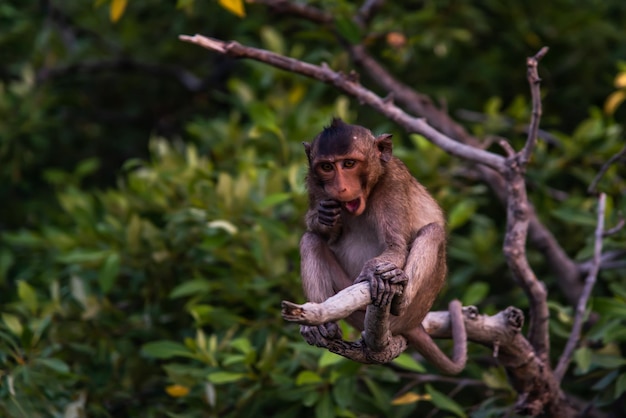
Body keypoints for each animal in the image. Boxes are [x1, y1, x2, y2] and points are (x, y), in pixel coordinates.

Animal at [300, 118, 466, 376]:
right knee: (310, 241)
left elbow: (395, 246)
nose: (340, 188)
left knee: (433, 232)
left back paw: (398, 294)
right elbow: (319, 232)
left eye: (349, 164)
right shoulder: (315, 185)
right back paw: (322, 325)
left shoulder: (393, 185)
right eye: (326, 167)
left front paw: (373, 271)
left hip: (412, 311)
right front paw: (322, 217)